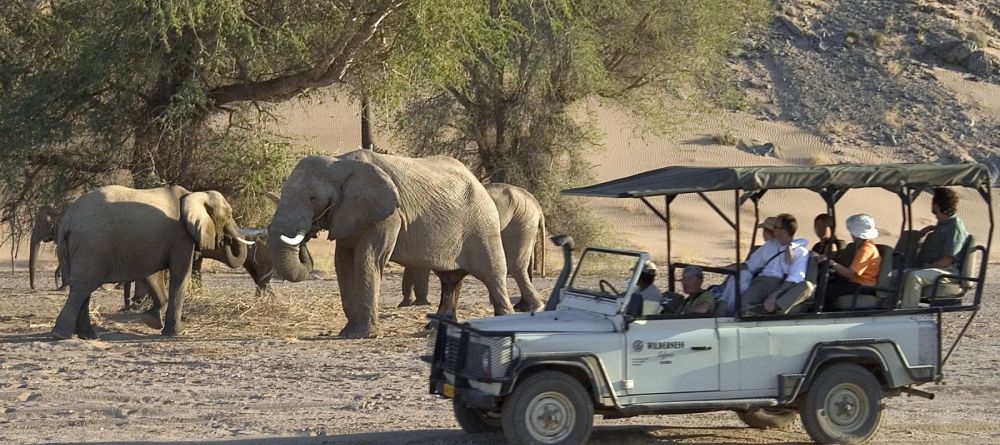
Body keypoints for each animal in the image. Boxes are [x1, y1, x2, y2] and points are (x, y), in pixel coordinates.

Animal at [53, 184, 254, 336]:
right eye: (228, 215)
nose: (226, 239)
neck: (193, 194)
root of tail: (67, 222)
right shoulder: (181, 237)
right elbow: (180, 275)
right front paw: (175, 333)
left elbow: (151, 275)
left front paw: (150, 321)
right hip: (93, 246)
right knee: (82, 287)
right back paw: (61, 335)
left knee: (83, 289)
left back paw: (87, 335)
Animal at [270, 149, 528, 336]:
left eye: (313, 198)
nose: (307, 235)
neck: (339, 163)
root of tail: (479, 183)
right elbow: (343, 263)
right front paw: (348, 332)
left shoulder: (389, 216)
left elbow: (367, 260)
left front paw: (362, 335)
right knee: (450, 280)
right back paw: (434, 330)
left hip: (483, 225)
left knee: (493, 274)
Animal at [398, 182, 548, 310]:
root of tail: (536, 205)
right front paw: (405, 304)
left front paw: (418, 304)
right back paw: (523, 306)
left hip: (520, 221)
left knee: (514, 265)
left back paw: (532, 307)